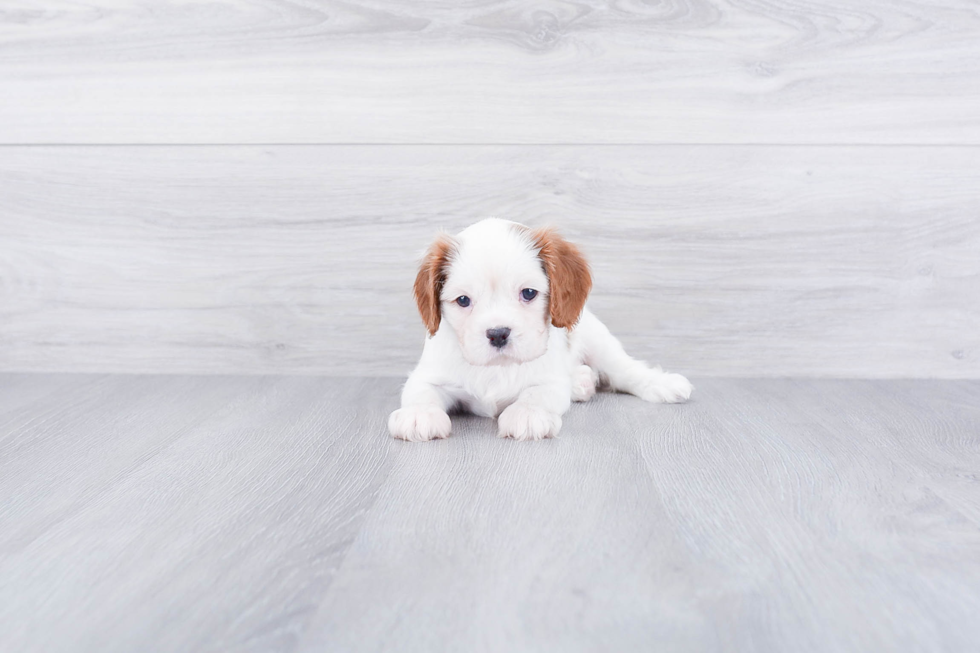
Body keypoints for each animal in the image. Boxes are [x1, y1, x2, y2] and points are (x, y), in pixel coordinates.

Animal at [386, 220, 692, 444]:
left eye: (529, 293)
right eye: (463, 300)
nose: (498, 333)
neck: (497, 368)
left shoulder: (550, 381)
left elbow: (537, 394)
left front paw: (526, 414)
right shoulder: (427, 374)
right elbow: (421, 392)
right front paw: (419, 414)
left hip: (598, 340)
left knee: (626, 370)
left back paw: (660, 383)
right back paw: (581, 381)